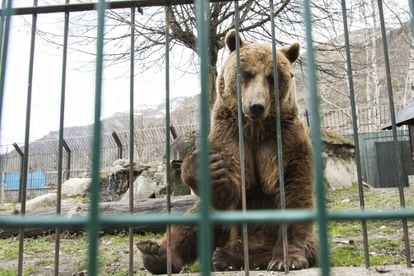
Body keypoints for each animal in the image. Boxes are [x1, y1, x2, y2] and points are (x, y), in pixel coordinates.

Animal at [137, 29, 316, 272]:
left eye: (272, 76)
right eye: (247, 73)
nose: (256, 106)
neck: (256, 129)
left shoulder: (286, 141)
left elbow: (293, 190)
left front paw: (286, 259)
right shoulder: (229, 136)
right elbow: (229, 189)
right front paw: (204, 167)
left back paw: (231, 258)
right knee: (193, 220)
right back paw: (156, 253)